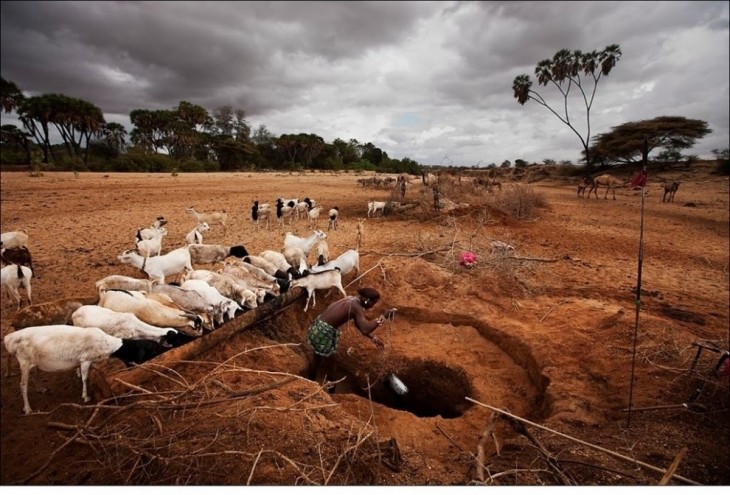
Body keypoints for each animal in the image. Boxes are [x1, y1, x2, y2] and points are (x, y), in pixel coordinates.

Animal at [3, 326, 165, 414]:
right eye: (150, 349)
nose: (162, 353)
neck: (107, 344)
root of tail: (8, 339)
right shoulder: (85, 360)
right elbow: (85, 378)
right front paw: (85, 396)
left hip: (31, 361)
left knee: (34, 375)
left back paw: (41, 388)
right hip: (23, 361)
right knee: (23, 385)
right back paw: (27, 408)